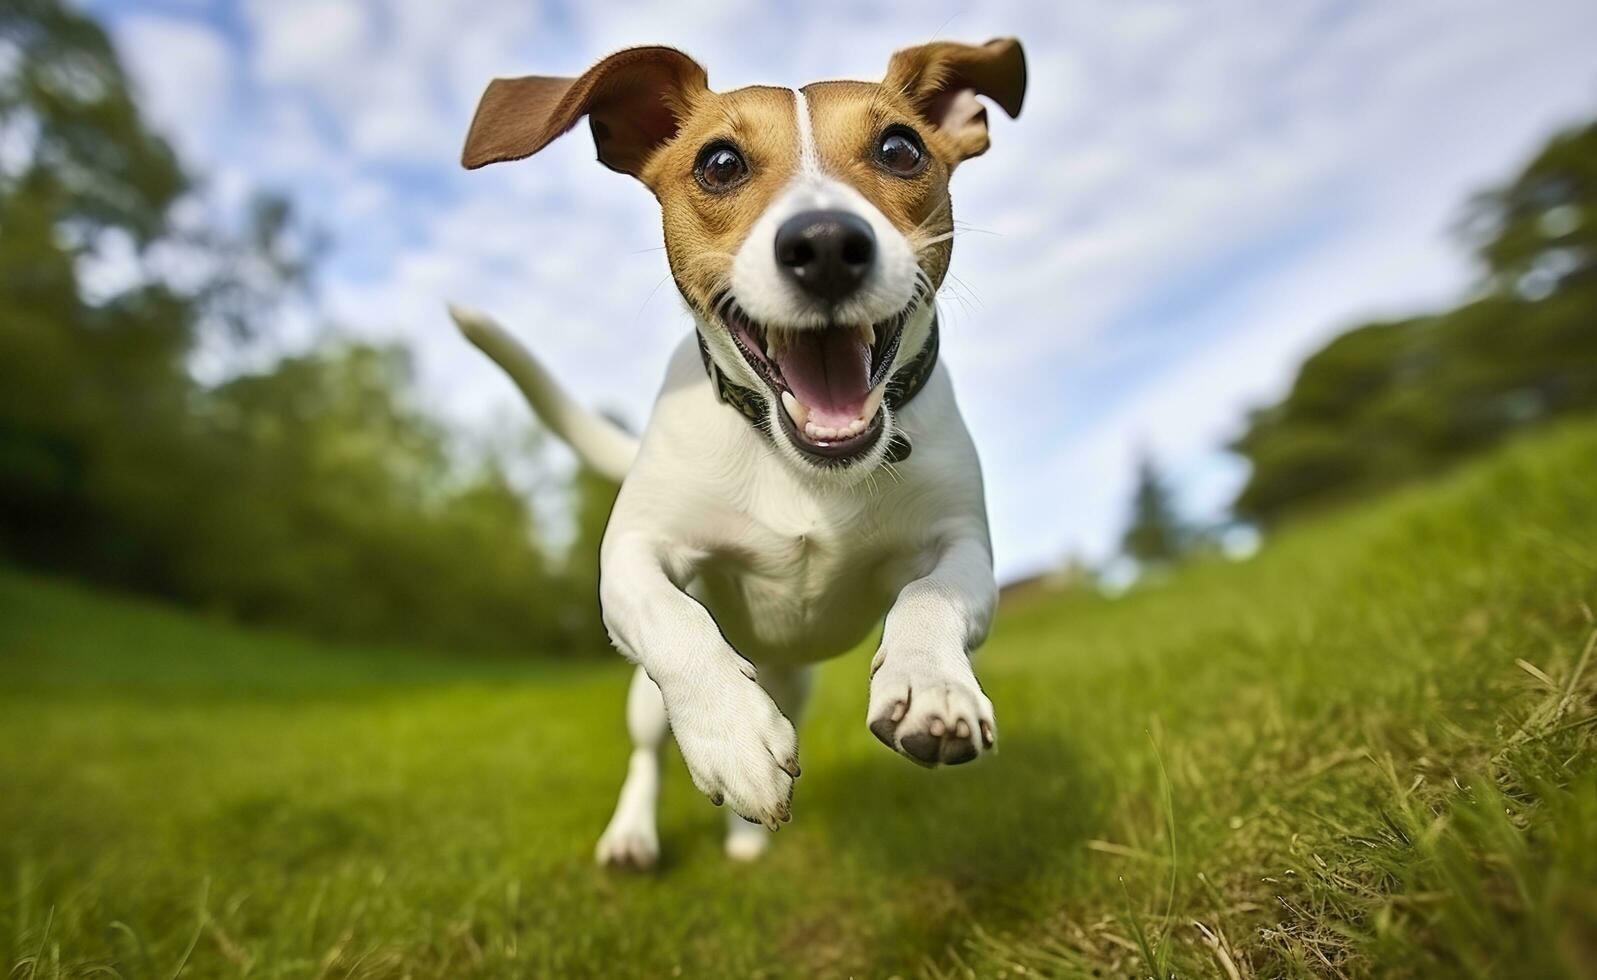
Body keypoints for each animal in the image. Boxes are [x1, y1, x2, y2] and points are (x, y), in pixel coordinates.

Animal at [450, 38, 1022, 868]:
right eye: (719, 163)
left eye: (900, 148)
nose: (825, 245)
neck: (799, 466)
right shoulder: (633, 555)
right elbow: (672, 619)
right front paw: (732, 735)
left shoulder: (961, 549)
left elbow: (929, 595)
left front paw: (930, 685)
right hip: (645, 701)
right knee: (648, 751)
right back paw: (634, 832)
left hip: (796, 683)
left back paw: (747, 837)